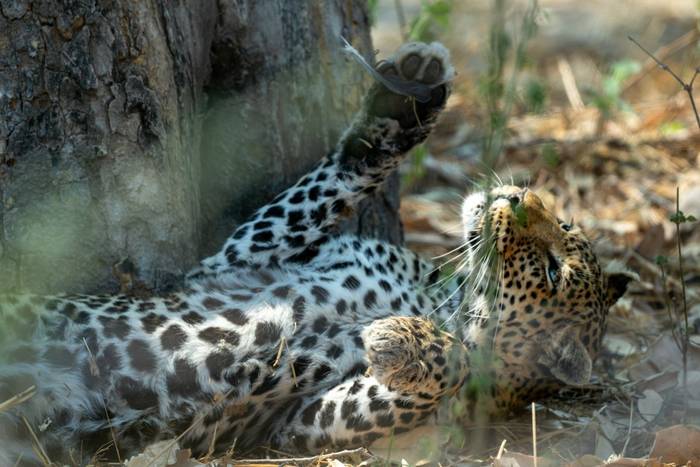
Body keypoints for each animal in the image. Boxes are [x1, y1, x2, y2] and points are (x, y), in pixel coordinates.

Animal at [0, 41, 632, 465]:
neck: (439, 293)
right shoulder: (237, 262)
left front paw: (403, 341)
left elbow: (447, 367)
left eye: (551, 269)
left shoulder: (297, 428)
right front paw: (407, 98)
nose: (517, 196)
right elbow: (328, 183)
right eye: (564, 224)